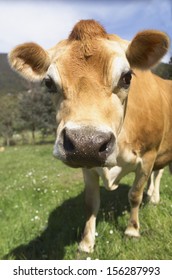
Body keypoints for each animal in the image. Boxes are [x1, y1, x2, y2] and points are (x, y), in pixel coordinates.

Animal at [8, 19, 171, 252]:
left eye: (127, 77)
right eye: (48, 83)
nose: (87, 142)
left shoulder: (148, 155)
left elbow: (134, 194)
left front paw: (132, 230)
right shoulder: (87, 164)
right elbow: (90, 203)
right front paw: (86, 243)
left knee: (158, 174)